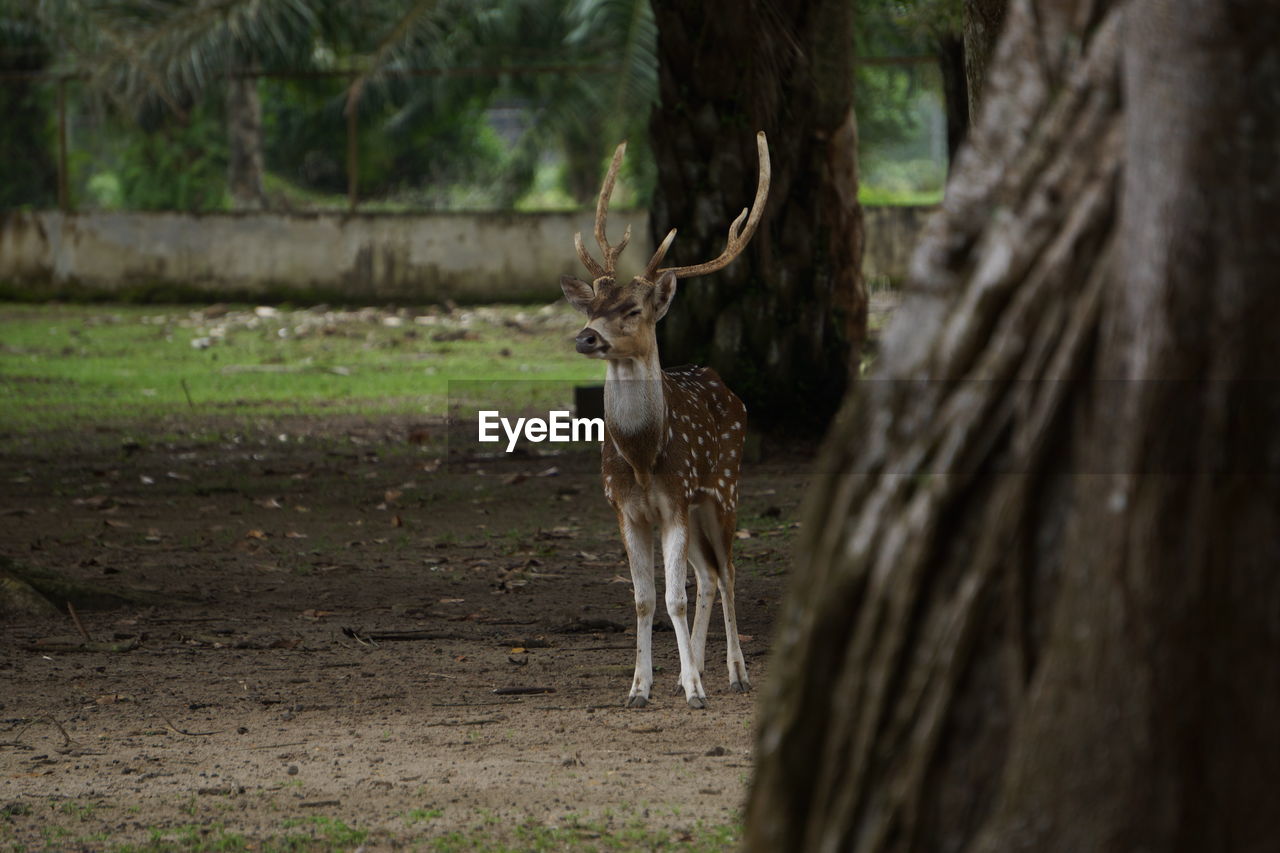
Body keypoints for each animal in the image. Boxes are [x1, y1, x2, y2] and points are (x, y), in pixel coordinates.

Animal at [560, 129, 768, 706]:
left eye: (632, 309)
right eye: (592, 306)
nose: (586, 337)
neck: (641, 457)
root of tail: (725, 385)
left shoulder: (674, 500)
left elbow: (674, 598)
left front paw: (695, 688)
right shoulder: (625, 509)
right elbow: (644, 600)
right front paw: (640, 687)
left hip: (722, 489)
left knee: (728, 571)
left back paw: (735, 674)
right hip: (698, 507)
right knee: (707, 575)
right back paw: (687, 669)